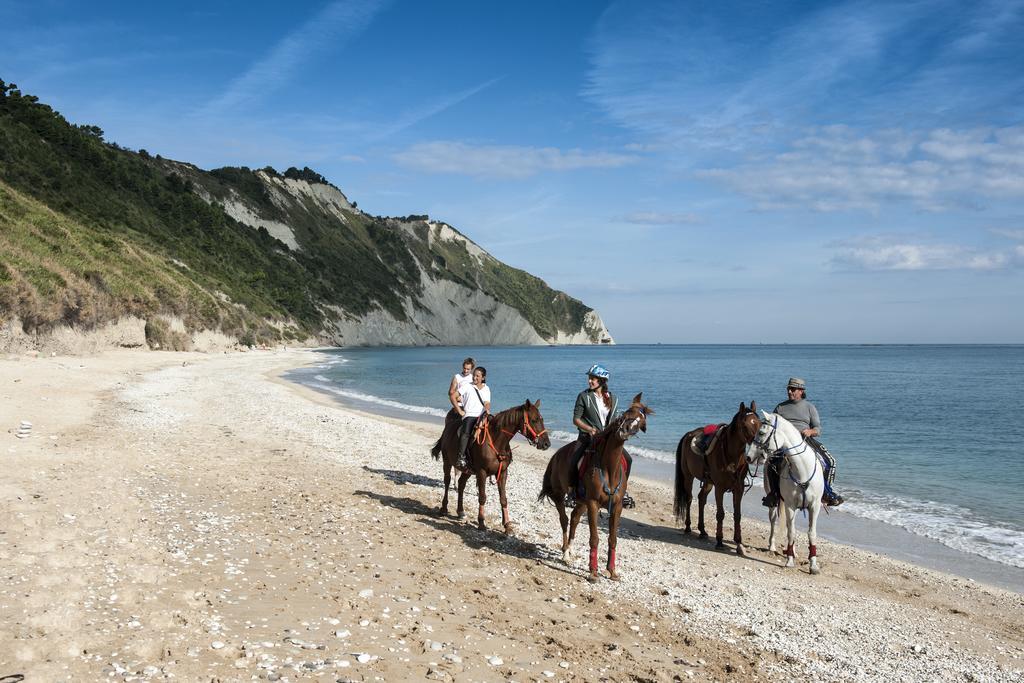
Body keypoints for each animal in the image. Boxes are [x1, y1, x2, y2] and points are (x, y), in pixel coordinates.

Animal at [430, 401, 552, 532]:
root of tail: (449, 426)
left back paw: (460, 511)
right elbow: (482, 497)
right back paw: (444, 508)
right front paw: (481, 522)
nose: (547, 443)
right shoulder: (481, 472)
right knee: (447, 481)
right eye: (534, 420)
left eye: (542, 419)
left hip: (468, 470)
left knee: (461, 484)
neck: (497, 441)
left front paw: (507, 525)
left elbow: (503, 499)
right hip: (447, 461)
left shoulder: (503, 473)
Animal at [540, 395, 651, 581]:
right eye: (627, 413)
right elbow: (594, 538)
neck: (609, 469)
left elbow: (612, 539)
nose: (625, 429)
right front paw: (593, 572)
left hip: (581, 502)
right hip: (559, 495)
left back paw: (570, 550)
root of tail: (556, 455)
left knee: (574, 518)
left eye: (641, 421)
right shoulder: (593, 503)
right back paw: (565, 553)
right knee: (564, 520)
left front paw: (612, 571)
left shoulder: (616, 507)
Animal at [671, 401, 761, 557]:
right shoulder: (720, 488)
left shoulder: (738, 488)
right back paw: (688, 527)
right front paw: (719, 541)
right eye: (745, 425)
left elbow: (737, 515)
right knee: (689, 499)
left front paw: (739, 543)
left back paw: (702, 530)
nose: (759, 446)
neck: (731, 456)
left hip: (707, 482)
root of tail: (689, 435)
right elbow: (720, 514)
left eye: (760, 424)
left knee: (701, 499)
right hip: (688, 477)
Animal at [745, 411, 823, 577]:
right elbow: (791, 532)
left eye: (761, 433)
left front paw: (813, 566)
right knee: (774, 520)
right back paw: (773, 547)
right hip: (774, 501)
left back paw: (792, 551)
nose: (748, 457)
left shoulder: (814, 506)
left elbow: (811, 533)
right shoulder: (790, 505)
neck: (802, 471)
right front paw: (790, 562)